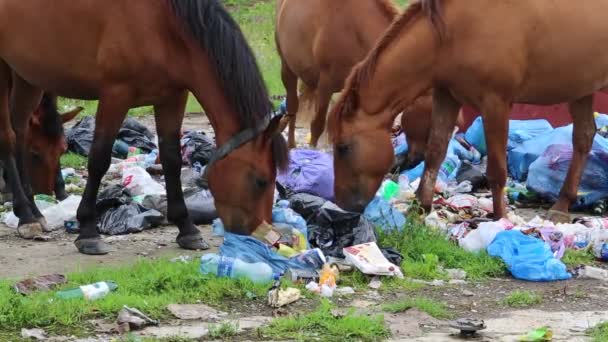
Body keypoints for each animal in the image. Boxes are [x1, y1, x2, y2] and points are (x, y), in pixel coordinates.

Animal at [0, 0, 288, 254]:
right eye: (261, 181)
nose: (263, 237)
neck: (163, 25)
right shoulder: (115, 94)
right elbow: (99, 160)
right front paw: (88, 232)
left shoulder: (172, 98)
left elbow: (172, 160)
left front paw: (186, 228)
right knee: (8, 138)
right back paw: (26, 216)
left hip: (26, 76)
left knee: (21, 132)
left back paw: (33, 211)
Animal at [330, 0, 608, 223]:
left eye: (343, 147)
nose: (340, 203)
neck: (452, 32)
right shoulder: (447, 96)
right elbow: (435, 152)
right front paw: (420, 207)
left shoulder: (495, 103)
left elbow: (496, 170)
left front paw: (500, 218)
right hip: (580, 87)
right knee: (584, 137)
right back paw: (562, 205)